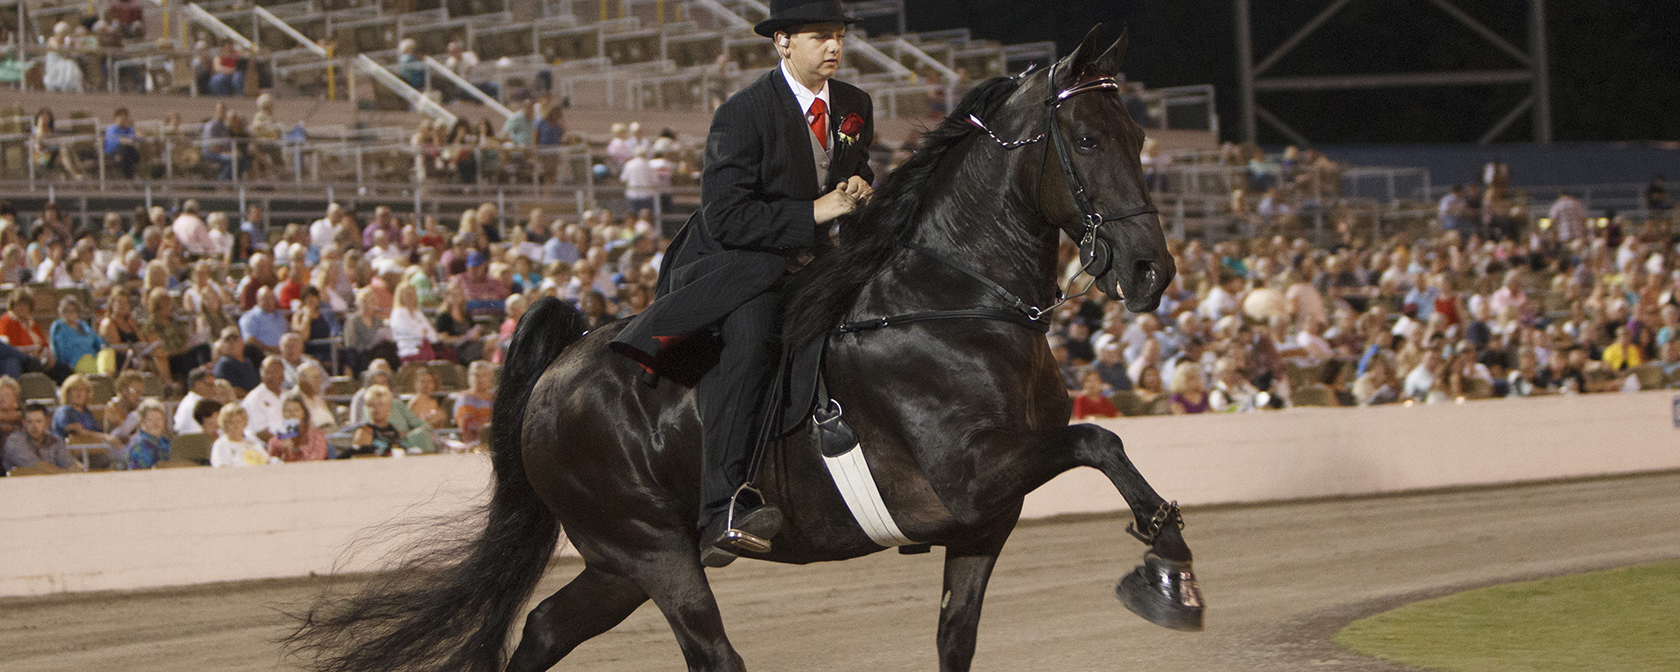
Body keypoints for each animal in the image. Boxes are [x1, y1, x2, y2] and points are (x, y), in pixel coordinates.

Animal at [295, 28, 1202, 672]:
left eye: (1137, 134)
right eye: (1086, 140)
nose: (1151, 271)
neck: (955, 306)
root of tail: (556, 375)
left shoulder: (984, 522)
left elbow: (957, 639)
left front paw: (1167, 555)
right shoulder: (965, 480)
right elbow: (1100, 438)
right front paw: (1171, 566)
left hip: (618, 564)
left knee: (547, 628)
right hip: (655, 552)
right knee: (708, 652)